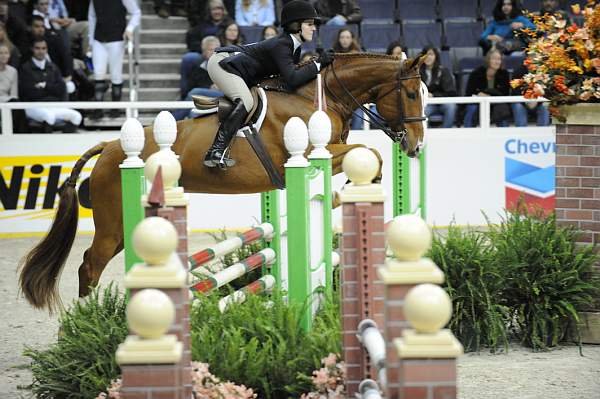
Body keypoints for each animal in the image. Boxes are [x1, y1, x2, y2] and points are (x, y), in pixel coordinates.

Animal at [17, 52, 426, 312]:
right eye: (409, 93)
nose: (416, 145)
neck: (317, 96)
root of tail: (109, 147)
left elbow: (367, 152)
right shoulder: (309, 155)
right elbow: (366, 152)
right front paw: (344, 196)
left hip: (129, 227)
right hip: (112, 225)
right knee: (89, 266)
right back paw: (88, 327)